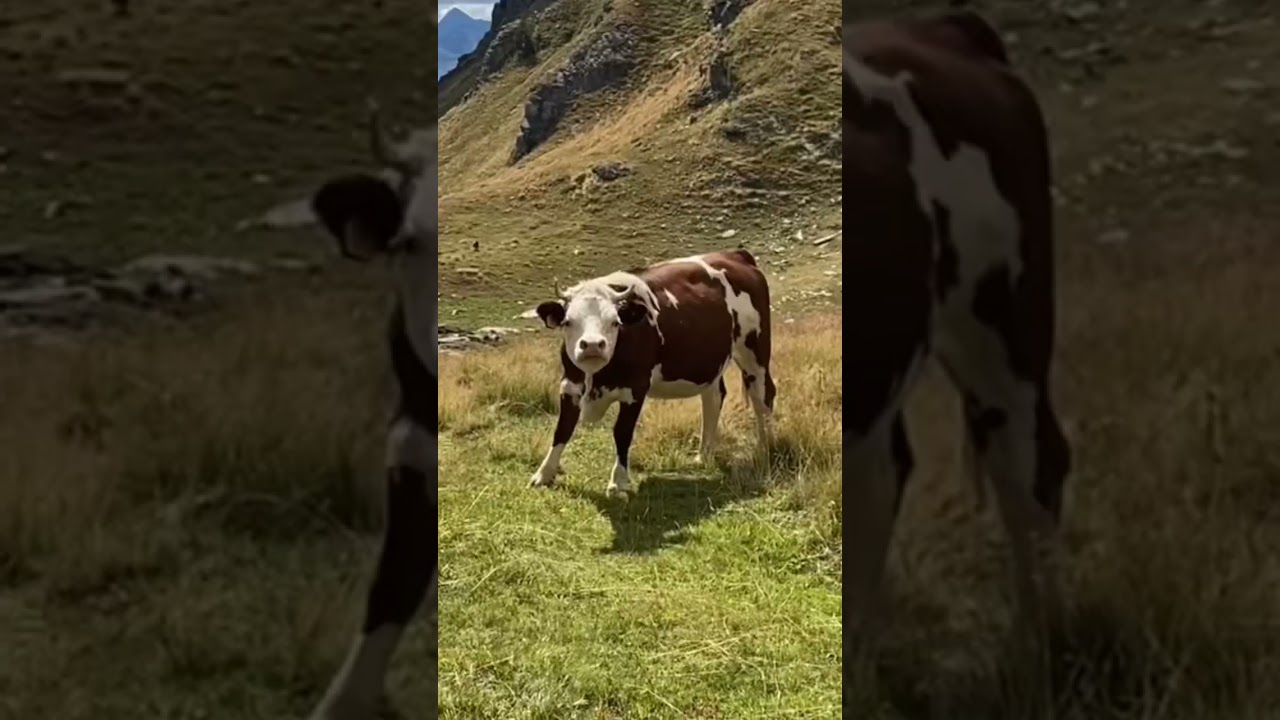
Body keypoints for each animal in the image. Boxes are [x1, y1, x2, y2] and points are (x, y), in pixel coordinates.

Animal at [530, 250, 777, 497]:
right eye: (568, 322)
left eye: (615, 322)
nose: (592, 345)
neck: (595, 379)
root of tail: (735, 254)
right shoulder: (570, 385)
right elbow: (562, 429)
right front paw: (544, 474)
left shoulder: (636, 389)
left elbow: (622, 432)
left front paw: (618, 482)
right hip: (713, 364)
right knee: (714, 398)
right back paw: (703, 454)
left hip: (754, 351)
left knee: (762, 395)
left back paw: (763, 451)